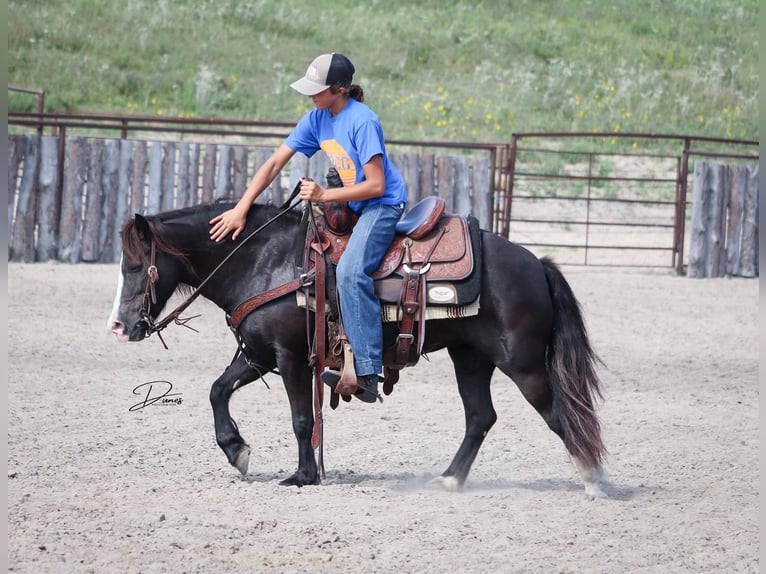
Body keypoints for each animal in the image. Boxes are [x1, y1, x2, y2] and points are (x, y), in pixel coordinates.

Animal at [109, 202, 612, 500]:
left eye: (135, 264)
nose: (119, 326)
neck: (266, 261)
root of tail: (537, 264)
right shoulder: (258, 354)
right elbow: (217, 390)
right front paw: (237, 451)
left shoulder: (291, 356)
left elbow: (302, 418)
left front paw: (303, 475)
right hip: (471, 357)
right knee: (480, 417)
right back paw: (449, 478)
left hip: (521, 363)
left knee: (559, 412)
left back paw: (594, 480)